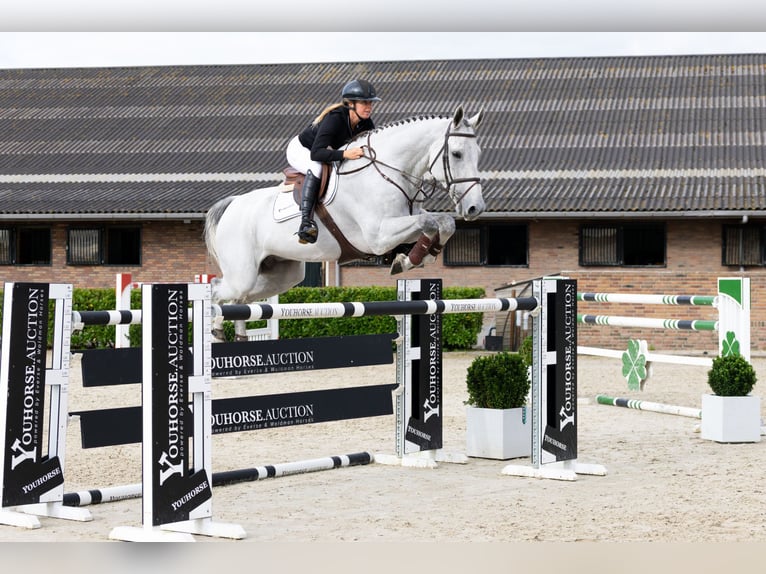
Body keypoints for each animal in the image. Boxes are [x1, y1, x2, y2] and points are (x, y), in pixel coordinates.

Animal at [204, 106, 485, 340]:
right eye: (457, 154)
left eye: (479, 154)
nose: (475, 208)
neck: (388, 173)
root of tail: (232, 204)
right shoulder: (379, 236)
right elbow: (428, 221)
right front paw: (410, 258)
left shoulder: (404, 222)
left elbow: (443, 222)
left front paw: (414, 256)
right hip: (243, 272)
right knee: (218, 289)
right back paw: (217, 329)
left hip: (282, 275)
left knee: (241, 299)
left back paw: (239, 334)